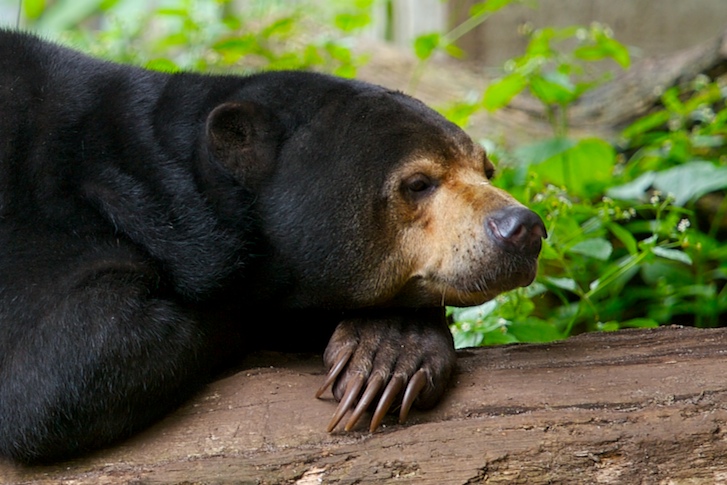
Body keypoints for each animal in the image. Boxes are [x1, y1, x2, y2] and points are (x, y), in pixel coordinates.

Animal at [0, 28, 544, 464]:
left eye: (487, 169)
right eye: (417, 183)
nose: (524, 227)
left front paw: (390, 353)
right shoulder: (48, 232)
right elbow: (58, 373)